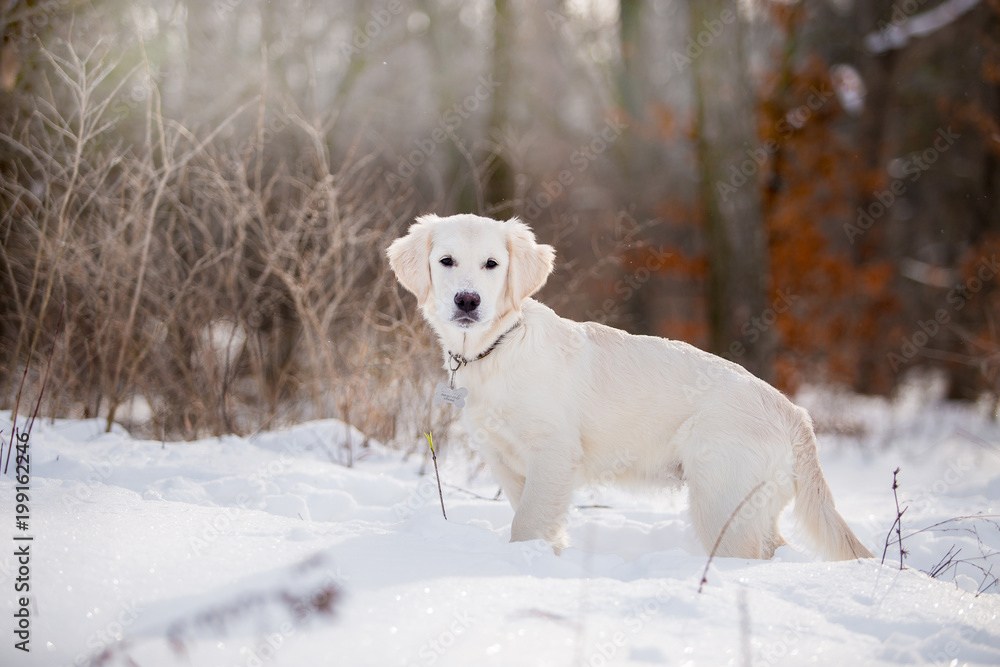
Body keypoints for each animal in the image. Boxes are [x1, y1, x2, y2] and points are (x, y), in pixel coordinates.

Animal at [386, 214, 872, 560]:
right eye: (446, 261)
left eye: (492, 264)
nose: (467, 301)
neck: (498, 350)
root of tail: (794, 412)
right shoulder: (503, 460)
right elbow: (534, 519)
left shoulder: (554, 453)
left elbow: (526, 524)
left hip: (721, 500)